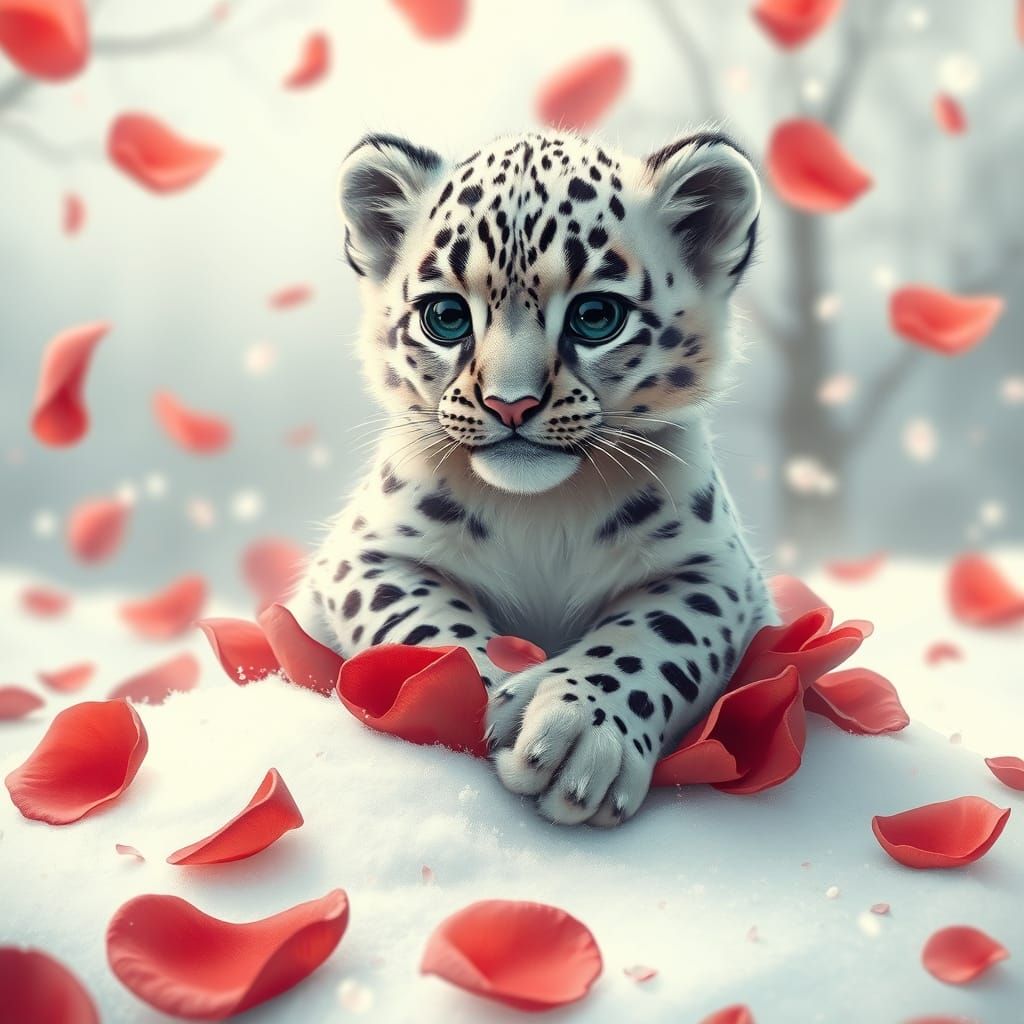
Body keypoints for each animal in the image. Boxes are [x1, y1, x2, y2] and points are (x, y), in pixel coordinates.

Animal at [291, 128, 775, 827]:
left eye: (596, 316)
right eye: (445, 316)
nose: (510, 404)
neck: (541, 512)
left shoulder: (717, 570)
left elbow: (656, 637)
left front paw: (578, 733)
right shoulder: (364, 554)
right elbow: (427, 628)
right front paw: (499, 695)